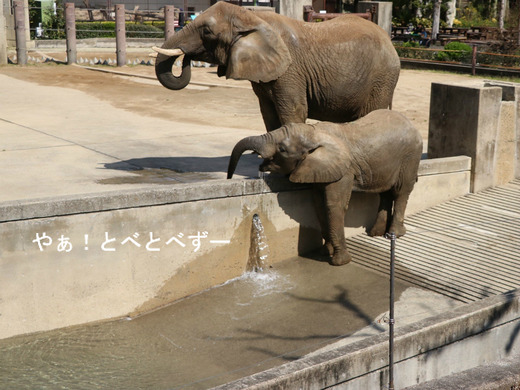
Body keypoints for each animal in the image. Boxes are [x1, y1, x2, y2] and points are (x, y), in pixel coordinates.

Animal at [152, 1, 400, 131]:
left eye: (207, 32)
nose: (186, 57)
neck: (252, 17)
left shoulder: (291, 70)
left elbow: (292, 110)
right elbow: (269, 113)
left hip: (382, 78)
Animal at [228, 111, 422, 266]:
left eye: (282, 149)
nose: (229, 177)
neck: (315, 132)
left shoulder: (344, 171)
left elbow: (333, 206)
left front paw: (340, 262)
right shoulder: (318, 170)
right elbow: (319, 205)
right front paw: (325, 252)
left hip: (411, 156)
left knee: (400, 191)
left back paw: (394, 234)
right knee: (384, 193)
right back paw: (375, 233)